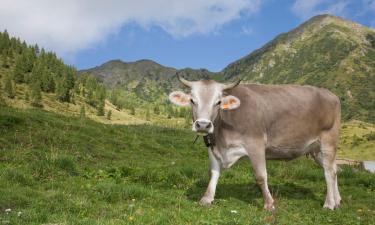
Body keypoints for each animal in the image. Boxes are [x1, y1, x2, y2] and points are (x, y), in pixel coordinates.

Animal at [170, 75, 344, 211]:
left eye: (218, 102)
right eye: (192, 100)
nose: (203, 125)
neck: (222, 137)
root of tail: (330, 94)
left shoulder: (256, 143)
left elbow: (260, 176)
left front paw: (269, 204)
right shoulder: (212, 146)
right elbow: (213, 173)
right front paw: (206, 198)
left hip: (328, 140)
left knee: (329, 172)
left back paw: (329, 204)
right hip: (315, 149)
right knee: (334, 168)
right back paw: (337, 201)